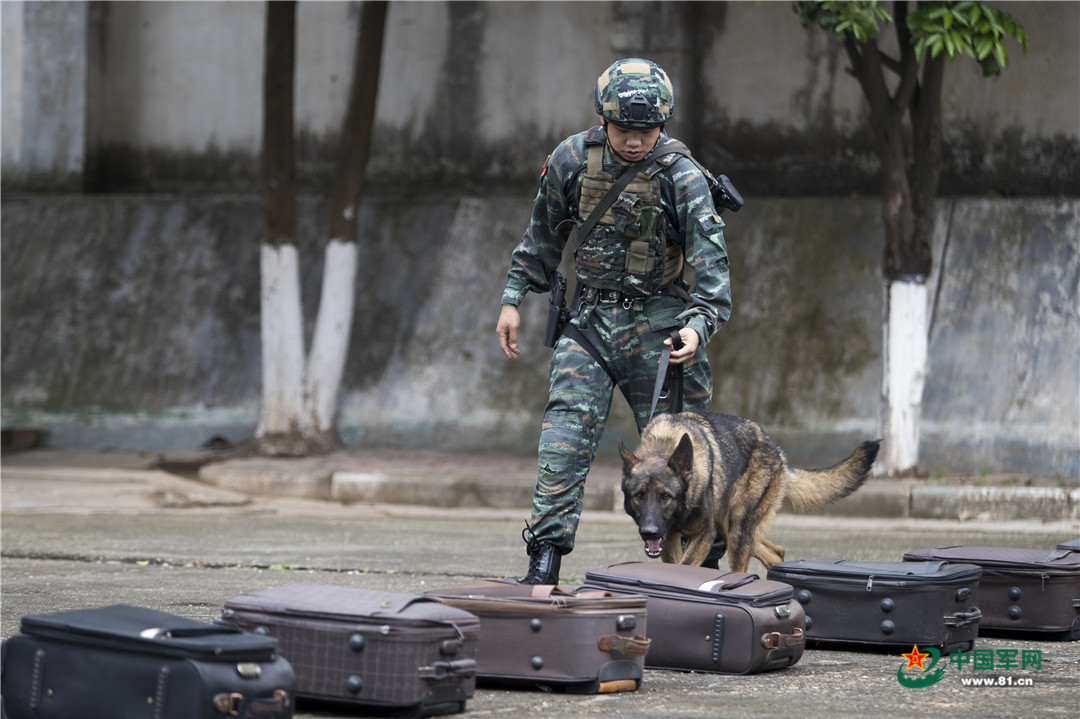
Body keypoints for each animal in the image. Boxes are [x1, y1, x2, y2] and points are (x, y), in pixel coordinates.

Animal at [619, 411, 881, 573]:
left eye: (666, 497)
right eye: (639, 496)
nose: (650, 532)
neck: (664, 444)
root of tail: (780, 456)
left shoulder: (703, 534)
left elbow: (684, 567)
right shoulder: (671, 538)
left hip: (736, 529)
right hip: (729, 528)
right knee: (776, 552)